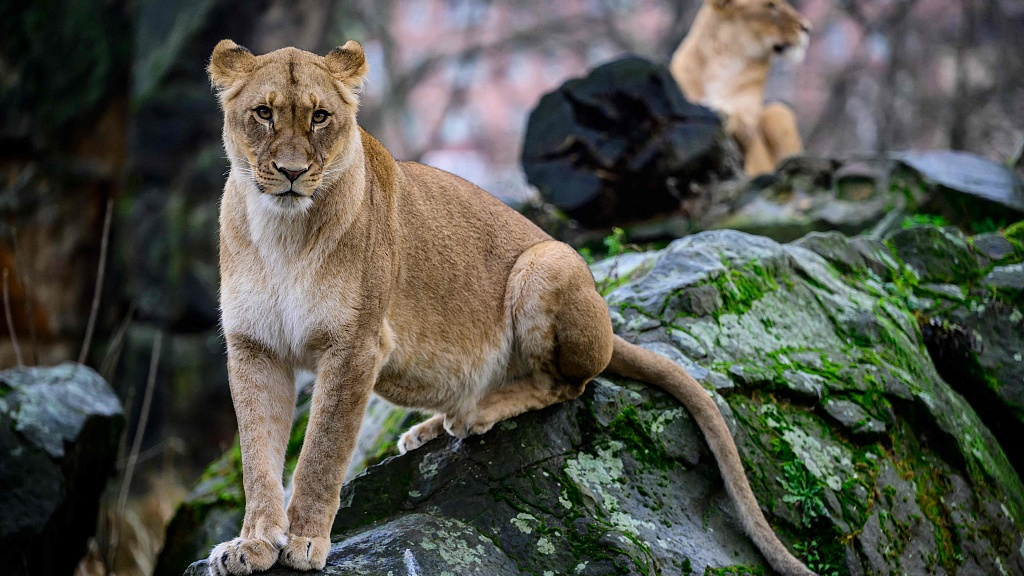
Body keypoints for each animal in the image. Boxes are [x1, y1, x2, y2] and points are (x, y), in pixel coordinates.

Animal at [205, 38, 815, 569]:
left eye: (320, 117)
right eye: (263, 113)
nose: (291, 172)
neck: (282, 233)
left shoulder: (354, 345)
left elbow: (322, 453)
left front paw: (305, 540)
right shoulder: (254, 348)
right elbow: (258, 457)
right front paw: (252, 544)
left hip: (546, 264)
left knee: (570, 385)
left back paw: (477, 412)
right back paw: (429, 427)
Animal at [667, 0, 811, 175]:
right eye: (770, 5)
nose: (807, 27)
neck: (724, 60)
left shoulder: (748, 129)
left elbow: (737, 117)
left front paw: (718, 108)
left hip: (778, 111)